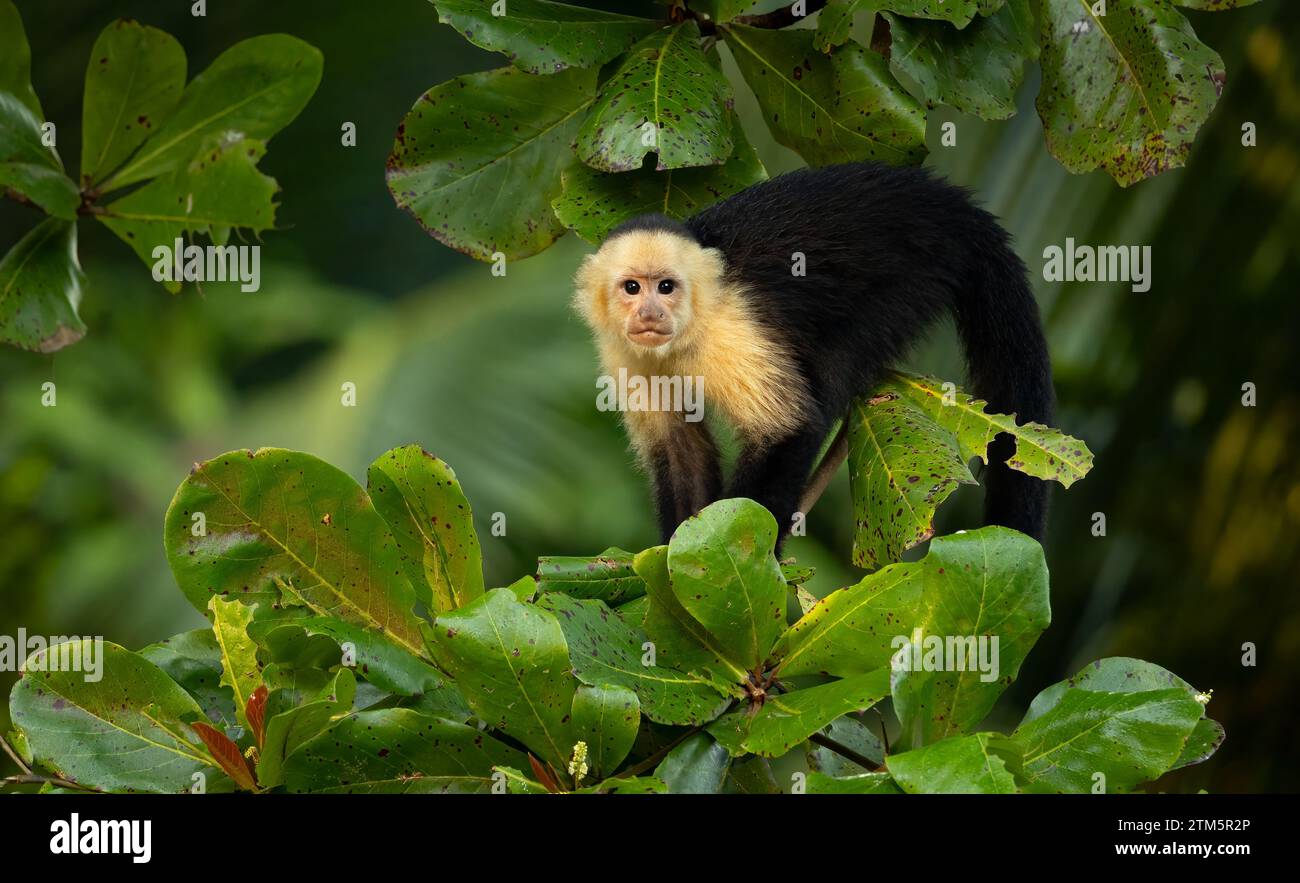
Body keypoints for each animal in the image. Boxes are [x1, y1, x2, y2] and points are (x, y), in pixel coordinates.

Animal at [572, 161, 1054, 550]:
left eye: (666, 287)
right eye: (632, 287)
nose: (650, 313)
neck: (687, 335)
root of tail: (949, 205)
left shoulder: (732, 328)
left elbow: (788, 428)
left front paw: (747, 547)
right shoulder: (624, 353)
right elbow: (679, 449)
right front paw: (671, 563)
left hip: (916, 275)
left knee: (832, 367)